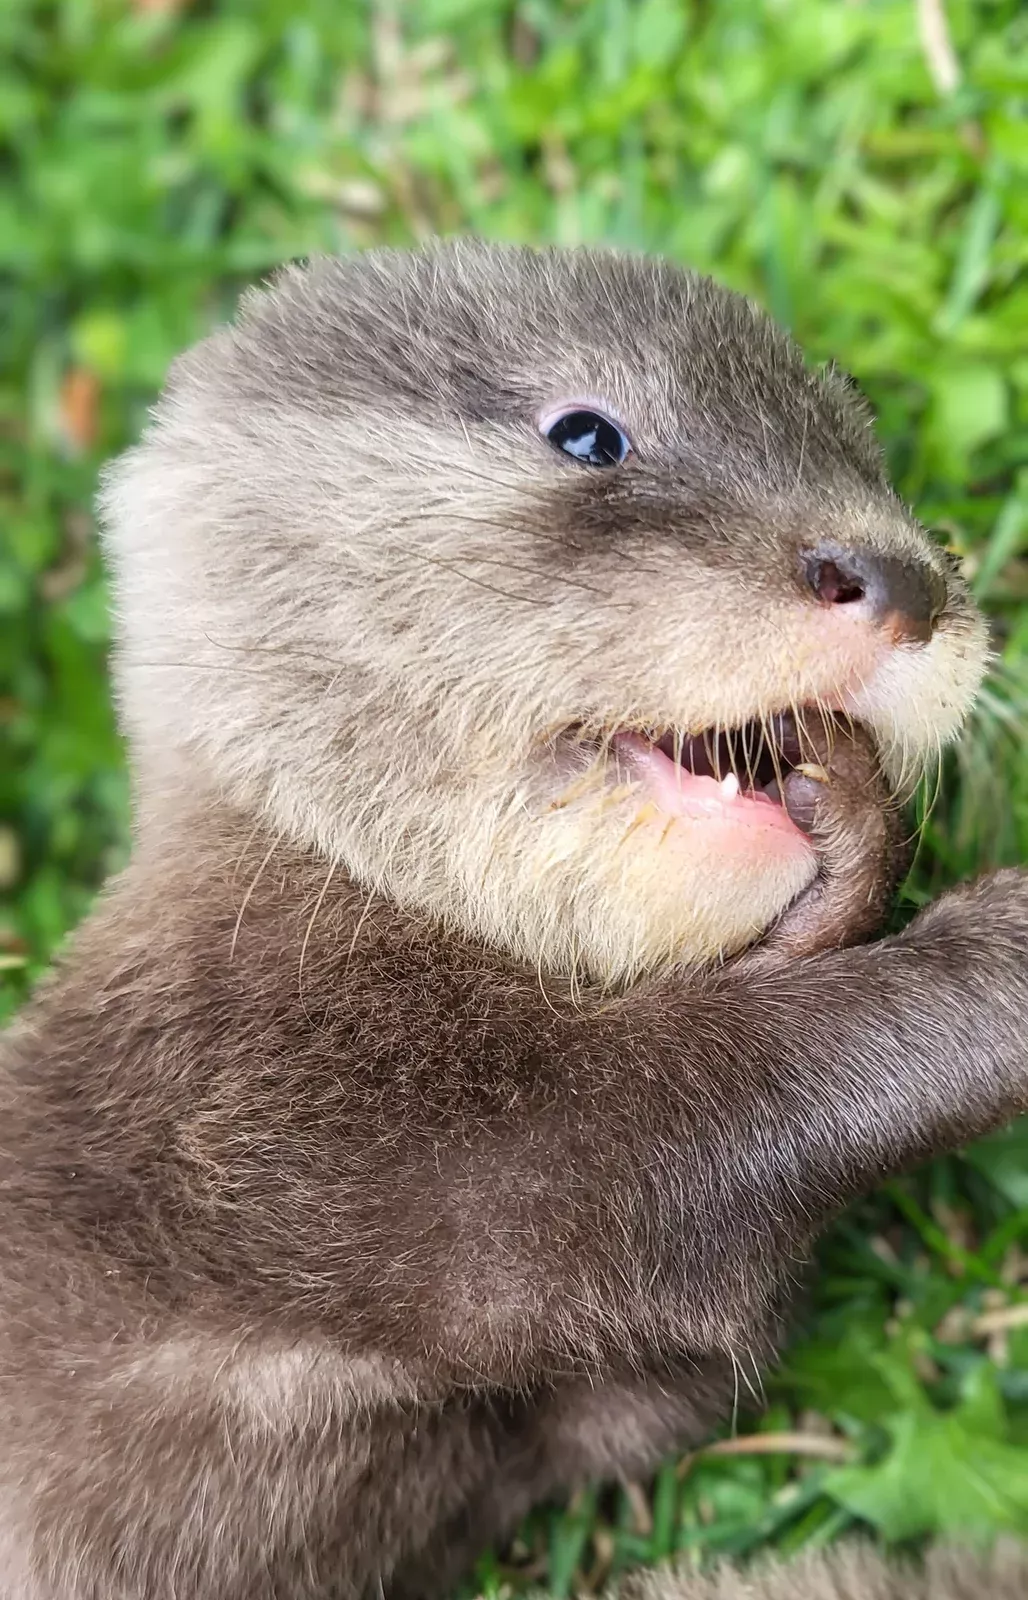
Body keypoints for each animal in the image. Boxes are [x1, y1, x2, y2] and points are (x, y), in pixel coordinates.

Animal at [2, 239, 1027, 1600]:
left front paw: (850, 832)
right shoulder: (264, 1133)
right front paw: (992, 957)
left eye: (861, 440)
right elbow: (672, 1135)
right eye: (587, 434)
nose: (904, 580)